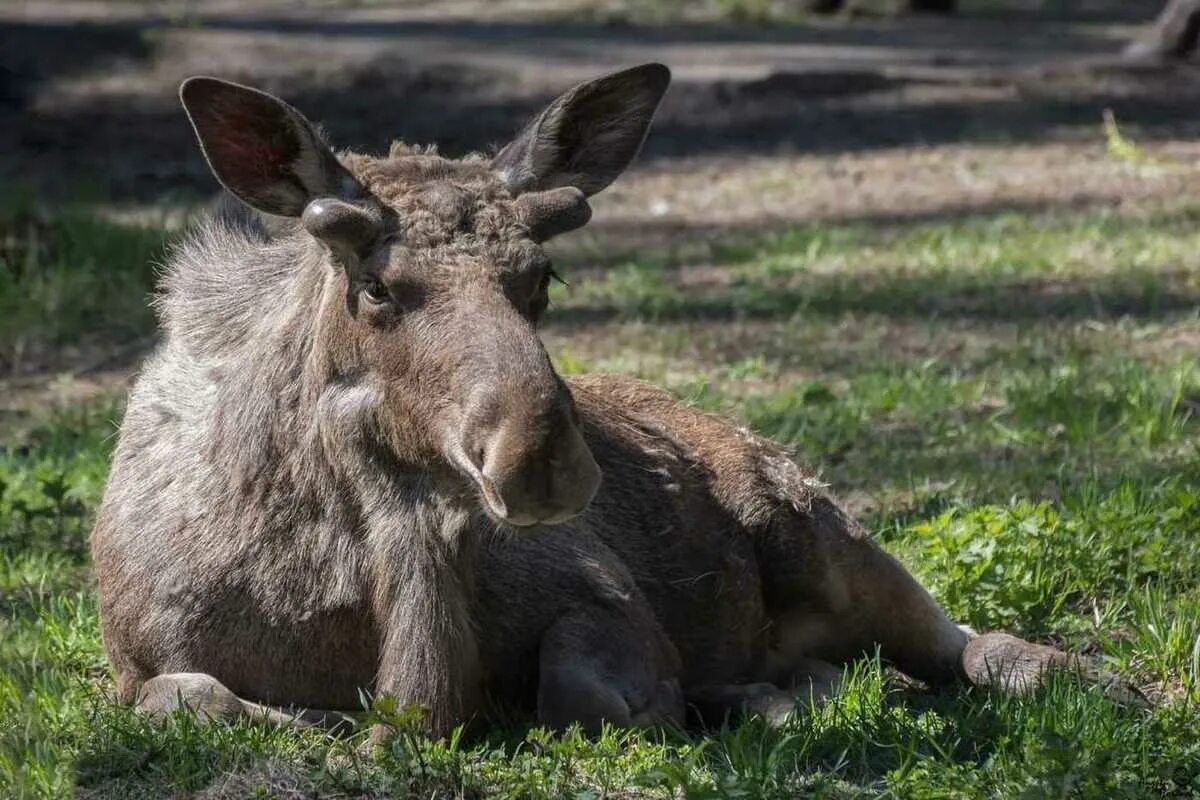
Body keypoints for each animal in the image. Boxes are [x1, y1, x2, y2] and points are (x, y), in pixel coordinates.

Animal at [91, 65, 1132, 743]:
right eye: (374, 285)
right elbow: (196, 698)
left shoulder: (603, 593)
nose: (542, 457)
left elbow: (581, 696)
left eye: (541, 276)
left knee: (968, 642)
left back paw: (1109, 686)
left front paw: (670, 704)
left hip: (823, 535)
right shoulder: (134, 664)